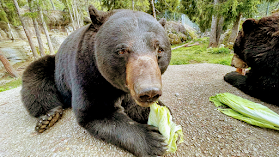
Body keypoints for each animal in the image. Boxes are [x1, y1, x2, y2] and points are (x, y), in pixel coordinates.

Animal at [20, 5, 172, 157]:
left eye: (160, 49)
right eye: (121, 50)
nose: (149, 92)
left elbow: (138, 106)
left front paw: (162, 114)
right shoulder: (89, 75)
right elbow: (95, 112)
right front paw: (153, 141)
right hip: (54, 69)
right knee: (36, 81)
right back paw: (49, 117)